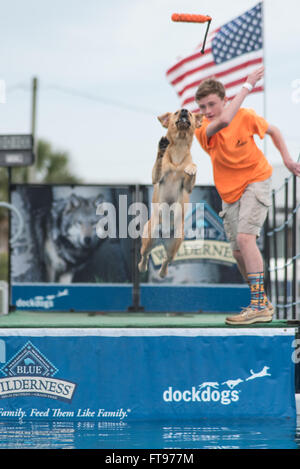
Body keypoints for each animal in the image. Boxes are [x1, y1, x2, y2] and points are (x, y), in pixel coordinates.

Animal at [138, 109, 202, 278]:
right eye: (176, 112)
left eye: (190, 114)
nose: (185, 110)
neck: (179, 146)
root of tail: (163, 236)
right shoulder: (156, 178)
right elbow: (159, 164)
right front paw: (161, 149)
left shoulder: (187, 187)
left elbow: (193, 166)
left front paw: (192, 168)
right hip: (149, 239)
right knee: (144, 255)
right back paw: (142, 267)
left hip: (174, 246)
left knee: (166, 259)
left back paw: (162, 273)